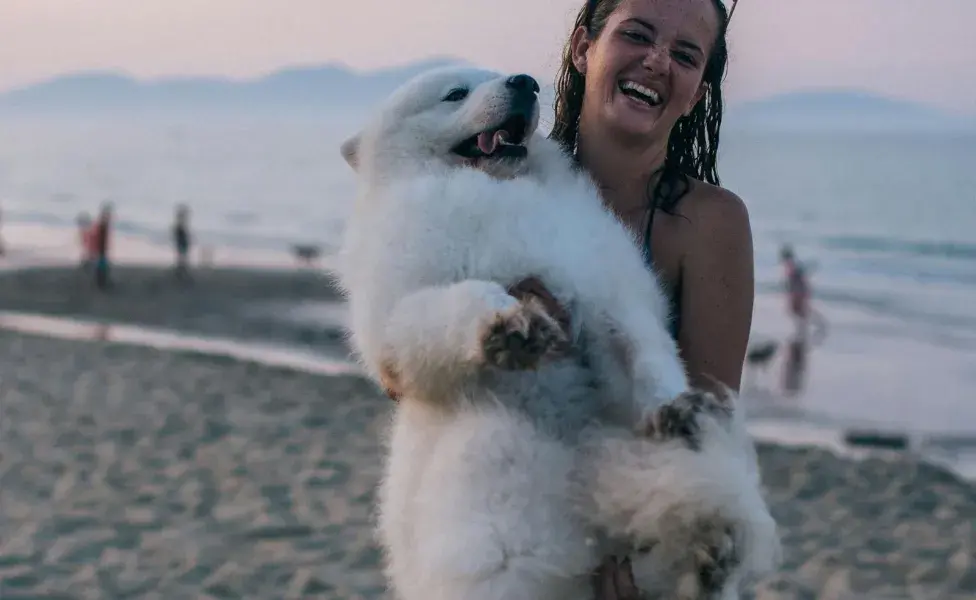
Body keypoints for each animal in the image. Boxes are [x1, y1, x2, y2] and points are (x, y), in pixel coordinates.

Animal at [334, 65, 776, 600]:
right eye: (455, 93)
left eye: (493, 73)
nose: (523, 82)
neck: (494, 189)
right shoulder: (399, 314)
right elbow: (461, 299)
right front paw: (508, 323)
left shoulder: (600, 291)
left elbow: (644, 354)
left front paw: (671, 407)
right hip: (491, 454)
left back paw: (710, 550)